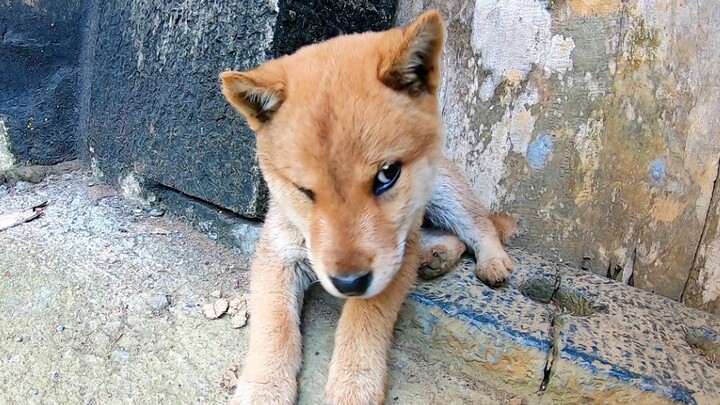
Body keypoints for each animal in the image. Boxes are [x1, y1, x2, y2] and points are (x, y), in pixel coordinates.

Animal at [221, 9, 516, 404]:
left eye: (387, 175)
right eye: (305, 191)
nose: (348, 282)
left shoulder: (391, 261)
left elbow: (363, 322)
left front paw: (354, 385)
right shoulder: (277, 252)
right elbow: (275, 327)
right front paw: (264, 387)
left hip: (442, 192)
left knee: (479, 224)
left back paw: (492, 261)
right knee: (440, 234)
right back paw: (436, 256)